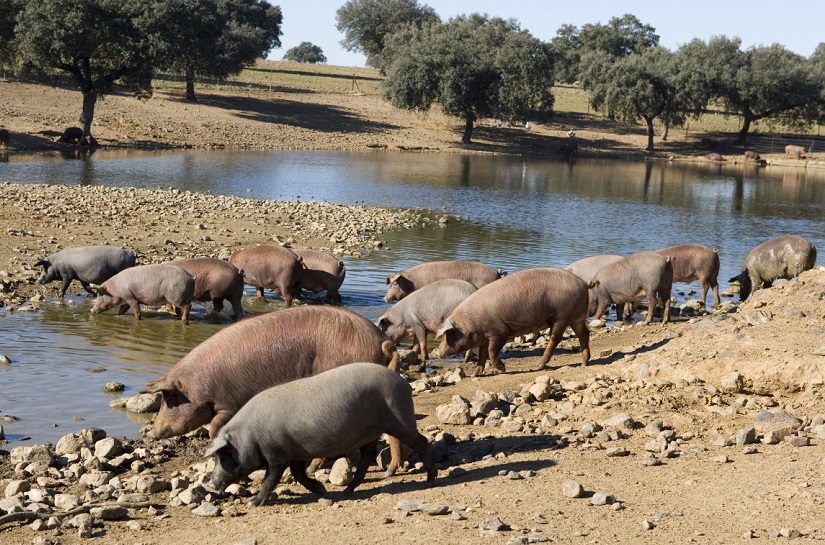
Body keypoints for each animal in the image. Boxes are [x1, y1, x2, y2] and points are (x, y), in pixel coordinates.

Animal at [206, 362, 438, 506]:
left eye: (224, 454)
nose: (212, 483)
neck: (250, 435)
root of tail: (404, 384)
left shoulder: (278, 454)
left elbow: (271, 478)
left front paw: (252, 503)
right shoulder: (295, 453)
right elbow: (299, 475)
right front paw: (323, 490)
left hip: (400, 420)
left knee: (421, 441)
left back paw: (430, 480)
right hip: (370, 433)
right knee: (366, 458)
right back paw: (346, 491)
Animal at [434, 266, 588, 376]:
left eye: (449, 333)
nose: (438, 353)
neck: (473, 322)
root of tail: (583, 284)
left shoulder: (500, 333)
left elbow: (491, 352)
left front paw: (502, 369)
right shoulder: (485, 337)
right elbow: (482, 355)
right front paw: (475, 375)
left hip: (561, 318)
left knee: (555, 338)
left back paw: (539, 365)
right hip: (577, 318)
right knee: (584, 333)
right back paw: (584, 363)